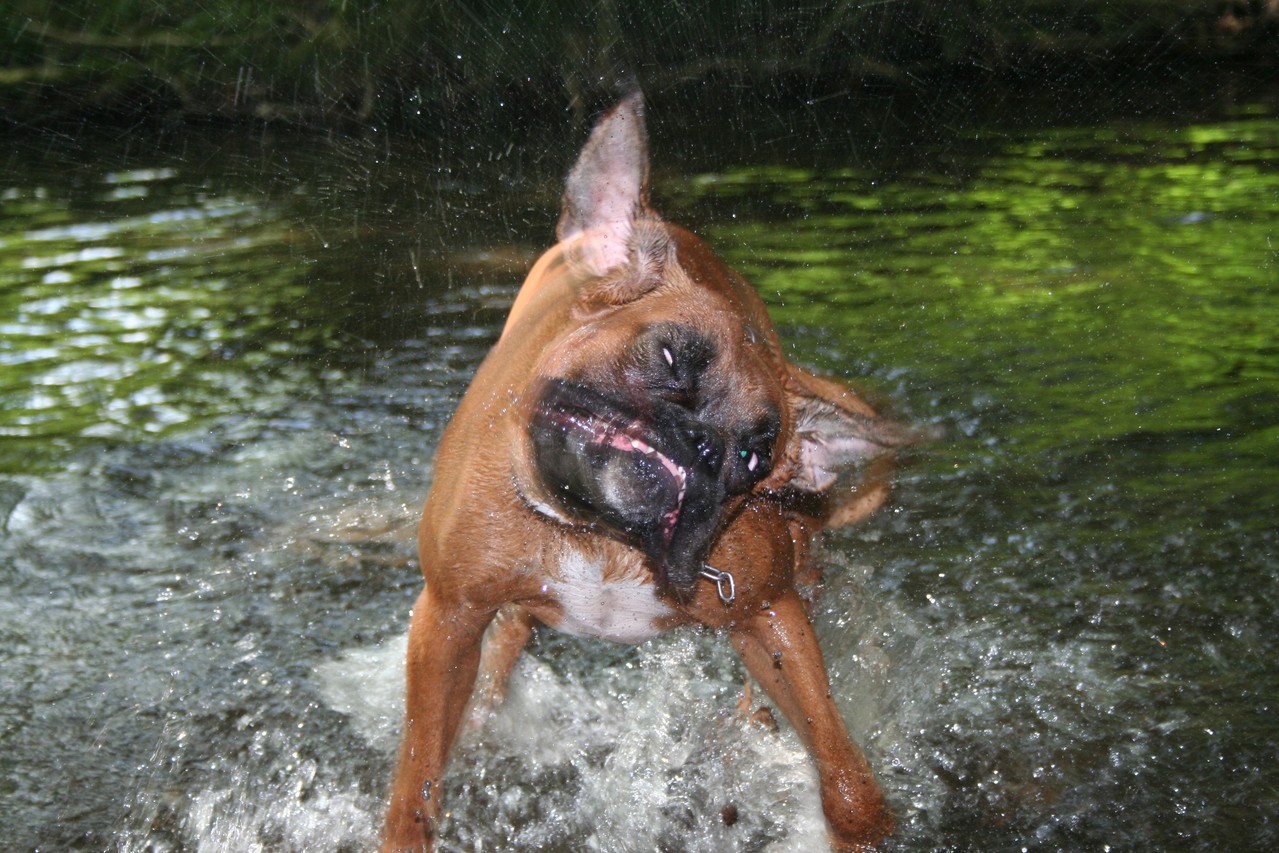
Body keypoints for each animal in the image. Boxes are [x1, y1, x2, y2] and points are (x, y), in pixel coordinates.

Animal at [378, 93, 920, 853]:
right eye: (670, 358)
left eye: (755, 453)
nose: (701, 443)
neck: (602, 536)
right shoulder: (447, 617)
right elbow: (417, 787)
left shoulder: (770, 615)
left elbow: (846, 779)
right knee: (505, 643)